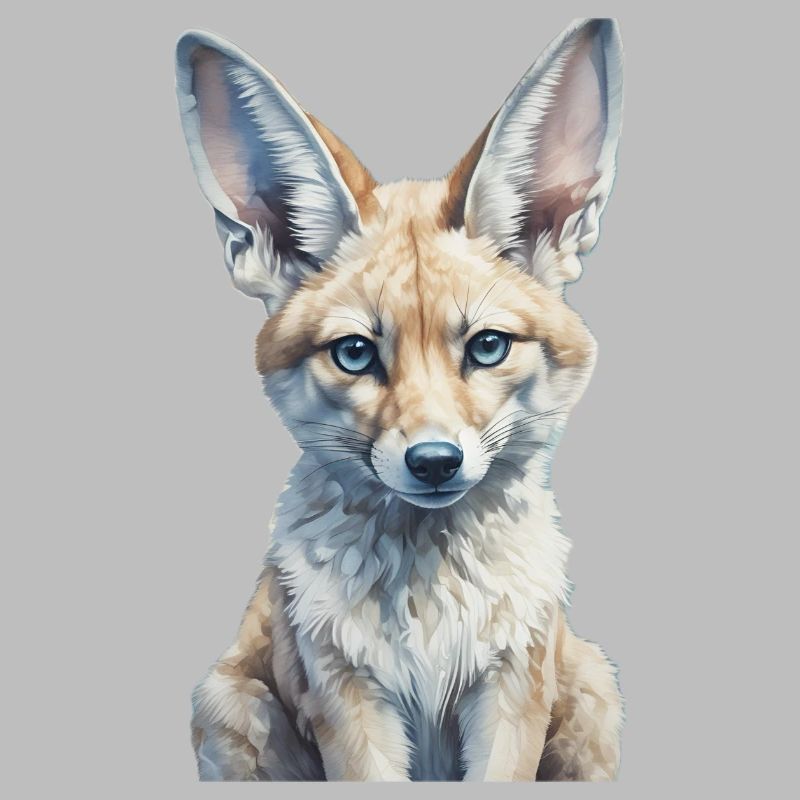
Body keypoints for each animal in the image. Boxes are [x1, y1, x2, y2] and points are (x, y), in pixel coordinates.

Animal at [176, 17, 624, 782]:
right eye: (356, 353)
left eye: (487, 346)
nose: (435, 462)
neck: (430, 607)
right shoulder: (347, 699)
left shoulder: (512, 690)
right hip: (227, 706)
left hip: (593, 693)